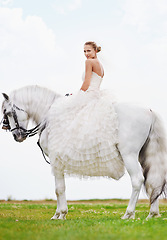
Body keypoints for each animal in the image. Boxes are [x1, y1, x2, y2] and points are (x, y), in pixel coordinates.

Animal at [1, 85, 167, 220]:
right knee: (153, 181)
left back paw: (128, 214)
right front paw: (58, 214)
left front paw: (61, 214)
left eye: (7, 112)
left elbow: (59, 189)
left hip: (129, 155)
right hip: (143, 156)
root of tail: (149, 110)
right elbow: (60, 188)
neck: (51, 117)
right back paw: (152, 214)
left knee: (137, 180)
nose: (17, 136)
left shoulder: (56, 161)